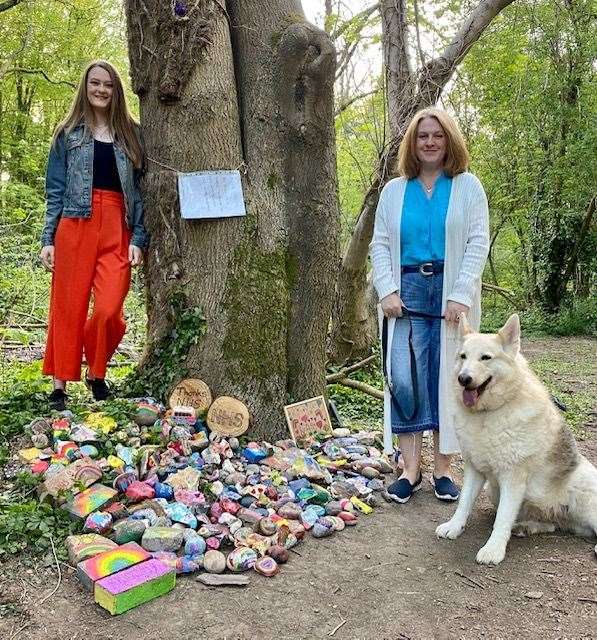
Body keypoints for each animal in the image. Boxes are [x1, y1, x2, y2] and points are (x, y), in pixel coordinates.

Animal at [434, 316, 596, 564]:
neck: (488, 414)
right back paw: (526, 527)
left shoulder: (512, 479)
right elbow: (463, 504)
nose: (463, 379)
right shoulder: (475, 471)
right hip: (494, 490)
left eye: (486, 357)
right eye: (463, 357)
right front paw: (454, 527)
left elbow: (501, 519)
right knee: (551, 525)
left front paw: (493, 549)